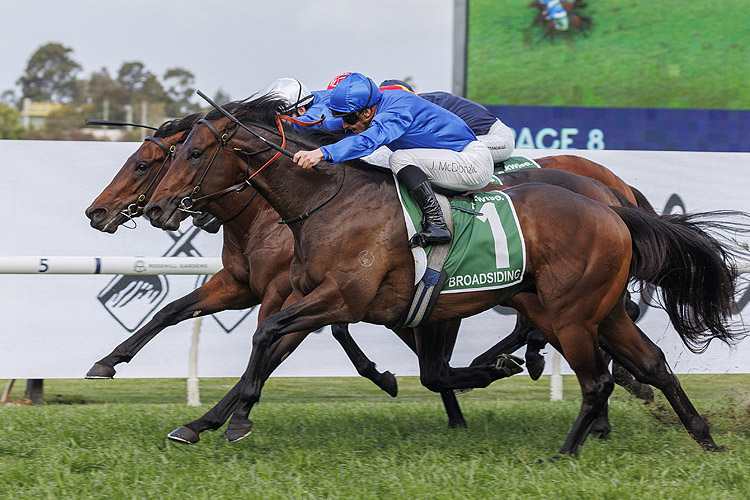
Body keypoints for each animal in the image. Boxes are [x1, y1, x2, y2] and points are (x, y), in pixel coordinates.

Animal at [144, 94, 748, 458]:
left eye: (192, 152)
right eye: (165, 155)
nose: (157, 208)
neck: (328, 201)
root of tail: (613, 207)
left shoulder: (342, 297)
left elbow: (269, 334)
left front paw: (234, 419)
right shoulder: (333, 299)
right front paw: (205, 421)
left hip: (571, 314)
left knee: (597, 378)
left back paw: (565, 448)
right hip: (595, 310)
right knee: (651, 362)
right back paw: (705, 439)